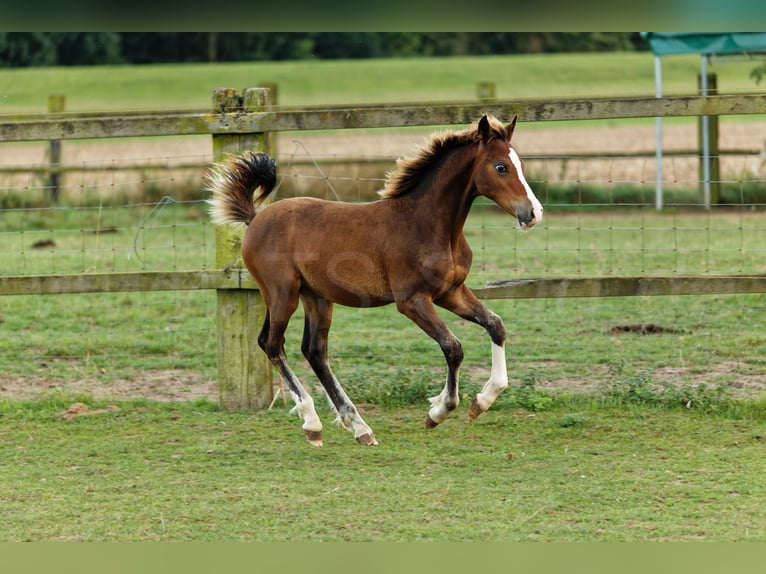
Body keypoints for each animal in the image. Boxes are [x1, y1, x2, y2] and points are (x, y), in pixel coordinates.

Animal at [208, 115, 544, 448]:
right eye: (501, 167)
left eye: (520, 163)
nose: (533, 213)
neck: (427, 224)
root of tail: (255, 218)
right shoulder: (411, 301)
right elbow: (453, 346)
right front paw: (438, 411)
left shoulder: (451, 292)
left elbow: (495, 324)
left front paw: (482, 401)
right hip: (281, 293)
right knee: (272, 344)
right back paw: (312, 422)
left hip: (317, 297)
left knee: (314, 351)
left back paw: (359, 427)